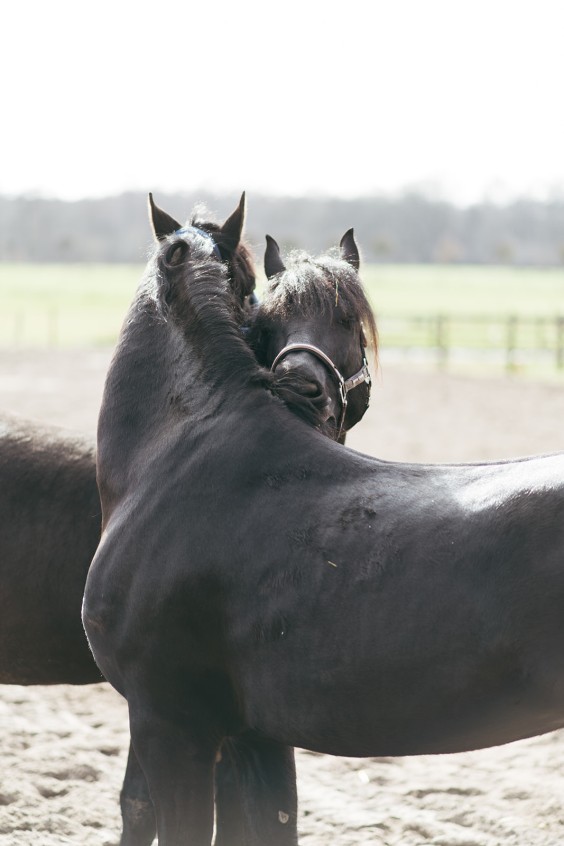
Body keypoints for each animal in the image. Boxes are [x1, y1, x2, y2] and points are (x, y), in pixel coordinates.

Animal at [83, 220, 564, 846]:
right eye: (263, 319)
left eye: (347, 320)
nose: (303, 388)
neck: (179, 451)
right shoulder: (253, 734)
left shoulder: (169, 723)